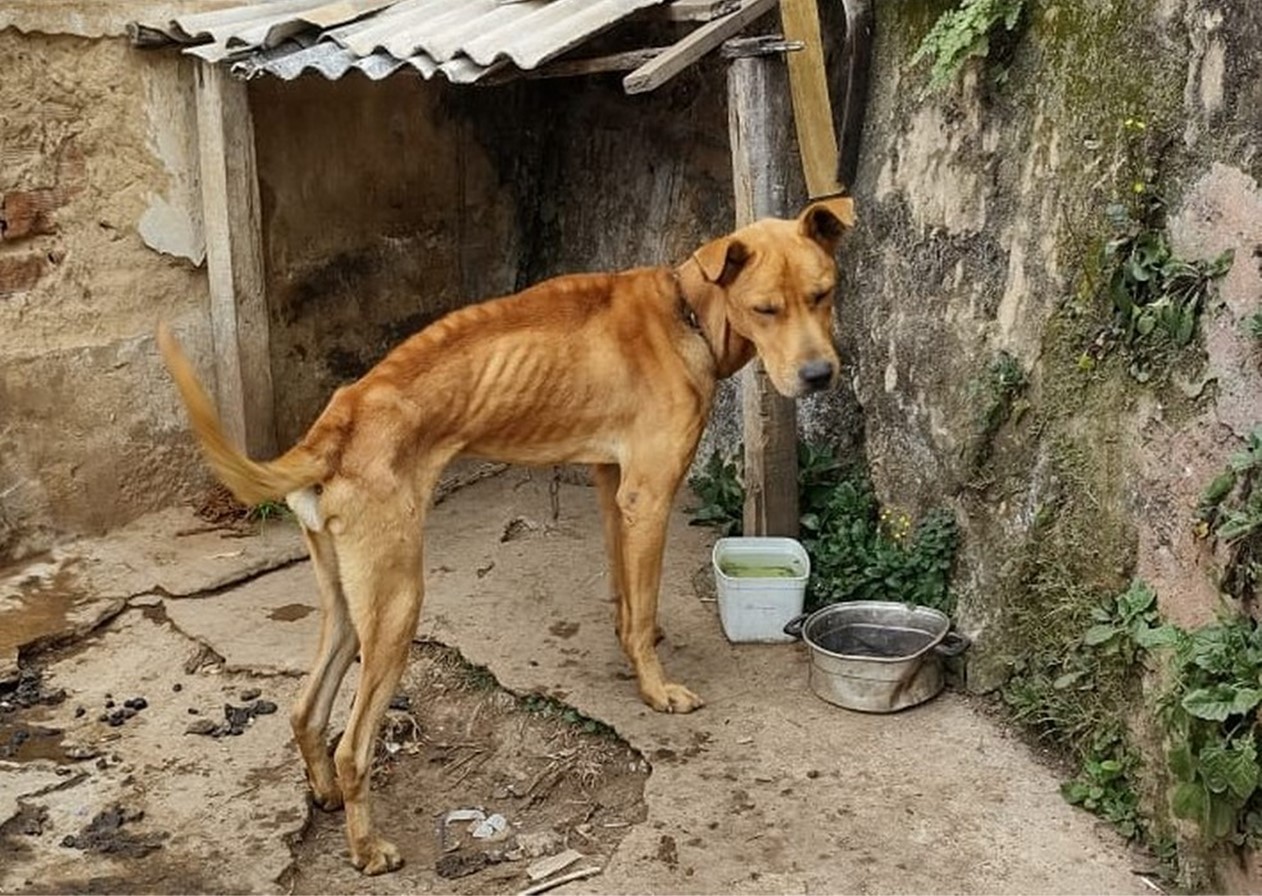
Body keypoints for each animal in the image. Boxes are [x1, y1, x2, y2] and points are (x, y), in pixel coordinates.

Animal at [152, 198, 853, 878]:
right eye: (766, 309)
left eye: (823, 294)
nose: (820, 376)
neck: (687, 311)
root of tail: (339, 421)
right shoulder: (649, 496)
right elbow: (642, 601)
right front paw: (655, 689)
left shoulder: (612, 486)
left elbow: (626, 595)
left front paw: (636, 643)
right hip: (398, 603)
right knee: (352, 746)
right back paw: (366, 849)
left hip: (352, 602)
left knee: (305, 710)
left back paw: (323, 794)